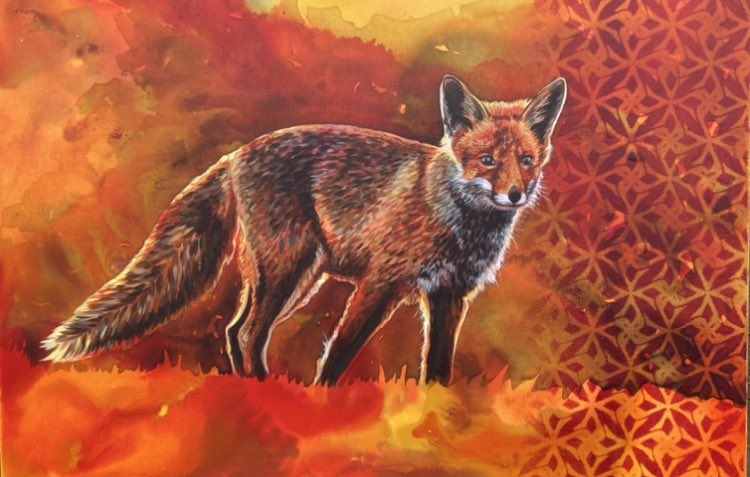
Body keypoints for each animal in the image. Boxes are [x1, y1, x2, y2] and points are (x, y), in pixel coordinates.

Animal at [42, 75, 566, 386]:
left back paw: (252, 388)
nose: (515, 195)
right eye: (487, 161)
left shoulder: (449, 296)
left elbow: (437, 367)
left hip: (295, 280)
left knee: (235, 330)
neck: (460, 224)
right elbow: (340, 352)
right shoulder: (380, 283)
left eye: (525, 161)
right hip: (286, 271)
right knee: (248, 333)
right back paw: (267, 395)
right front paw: (323, 403)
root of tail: (235, 154)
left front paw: (438, 412)